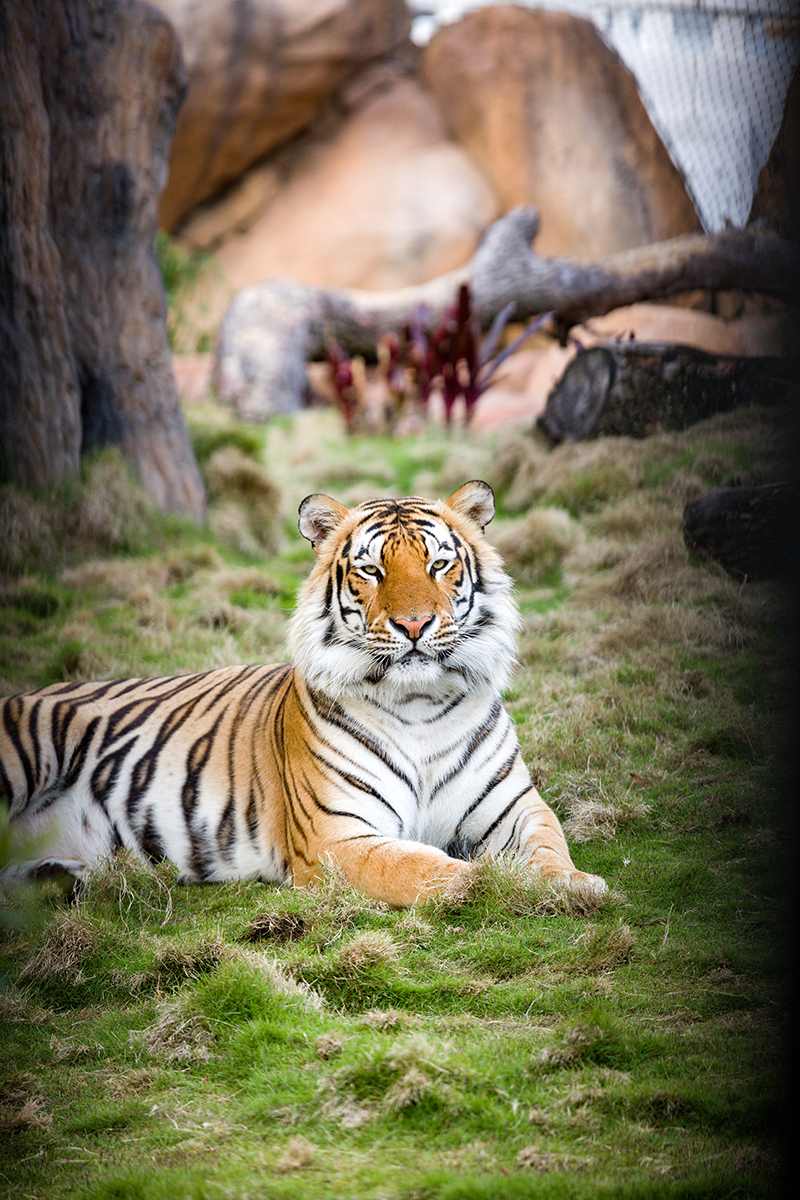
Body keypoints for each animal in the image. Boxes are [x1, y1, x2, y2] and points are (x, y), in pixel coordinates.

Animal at [0, 482, 606, 902]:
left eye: (439, 564)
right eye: (371, 570)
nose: (414, 625)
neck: (420, 703)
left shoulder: (516, 806)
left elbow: (549, 845)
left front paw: (574, 886)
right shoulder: (338, 837)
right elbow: (433, 870)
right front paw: (499, 885)